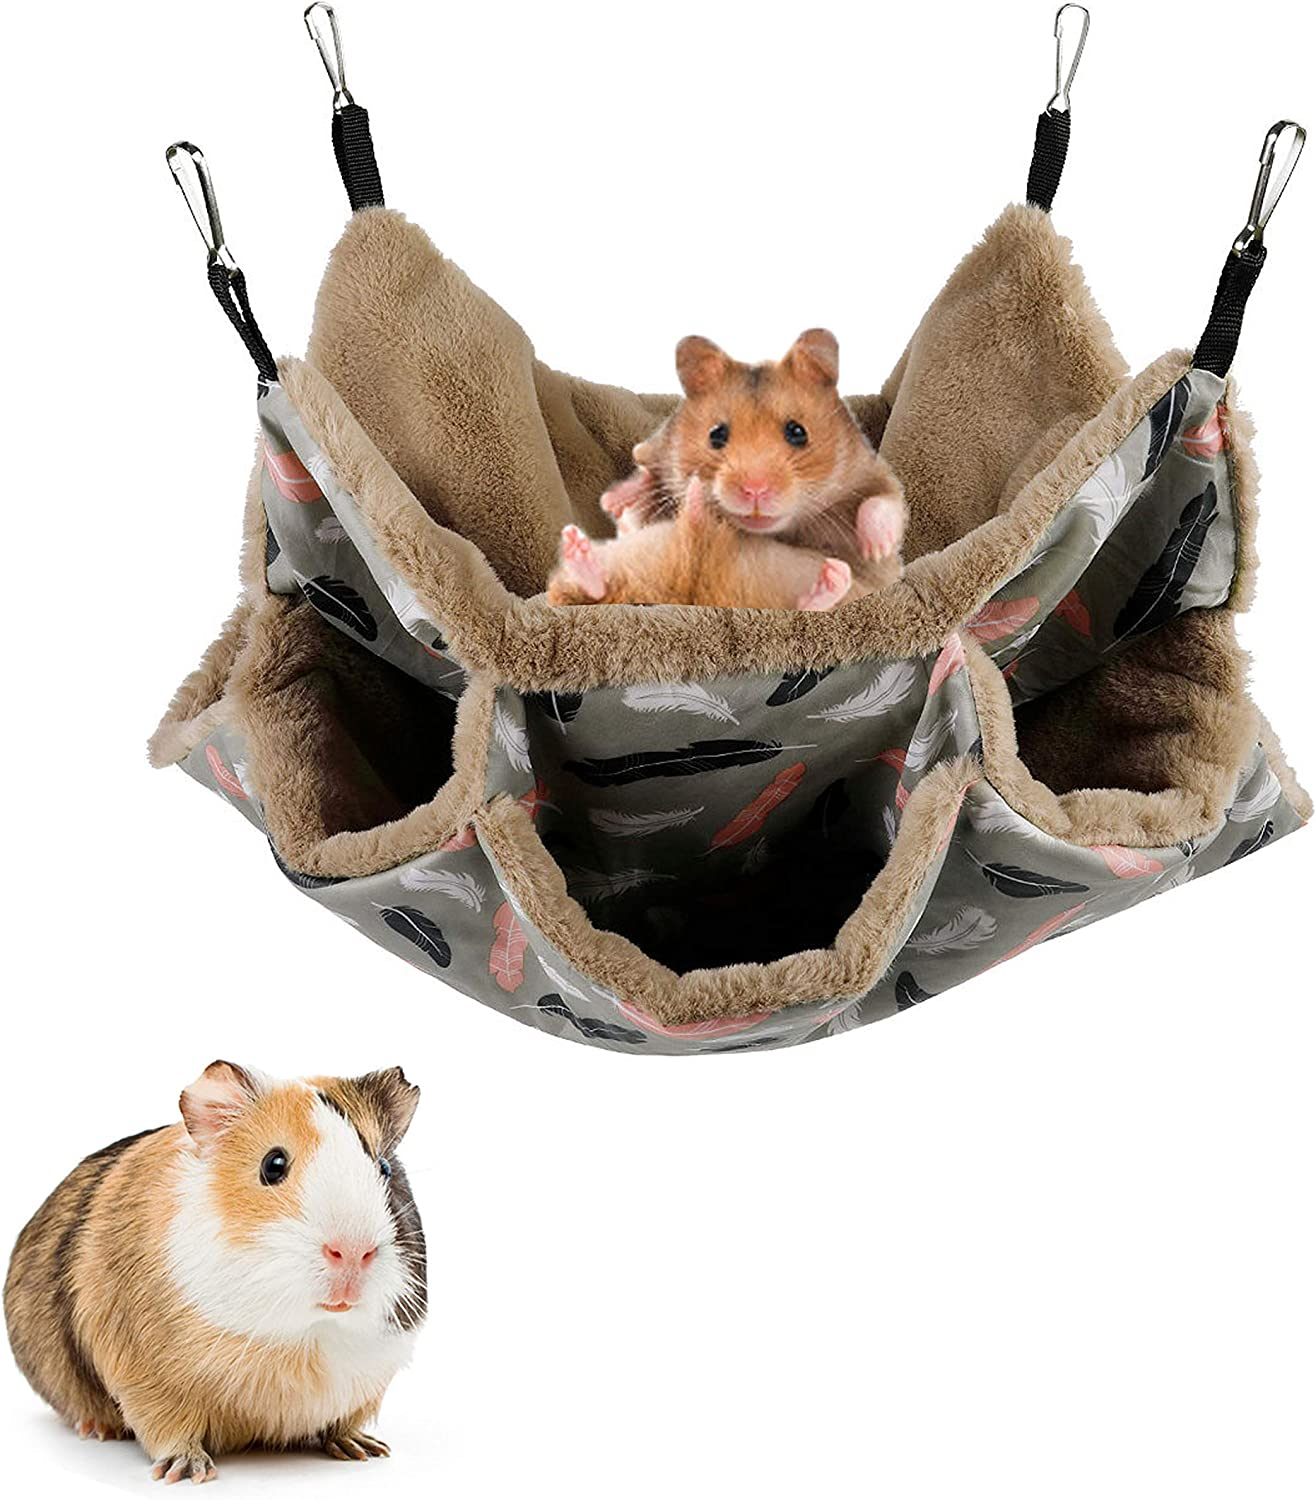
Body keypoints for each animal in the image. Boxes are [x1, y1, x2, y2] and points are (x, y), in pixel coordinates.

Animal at [4, 1061, 425, 1484]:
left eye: (384, 1168)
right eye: (273, 1164)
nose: (354, 1252)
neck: (306, 1338)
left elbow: (342, 1422)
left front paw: (365, 1450)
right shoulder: (148, 1381)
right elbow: (170, 1430)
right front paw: (188, 1472)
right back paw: (98, 1430)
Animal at [600, 327, 906, 587]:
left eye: (798, 432)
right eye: (716, 434)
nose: (755, 490)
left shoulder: (874, 471)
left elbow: (883, 502)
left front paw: (876, 549)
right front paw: (613, 500)